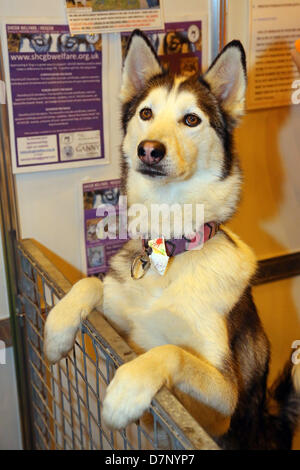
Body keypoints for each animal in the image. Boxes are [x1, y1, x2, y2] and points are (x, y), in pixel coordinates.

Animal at [44, 31, 300, 450]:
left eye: (191, 119)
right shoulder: (117, 338)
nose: (149, 149)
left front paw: (125, 393)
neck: (171, 251)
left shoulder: (221, 404)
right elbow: (89, 284)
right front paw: (56, 330)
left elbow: (172, 353)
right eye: (146, 113)